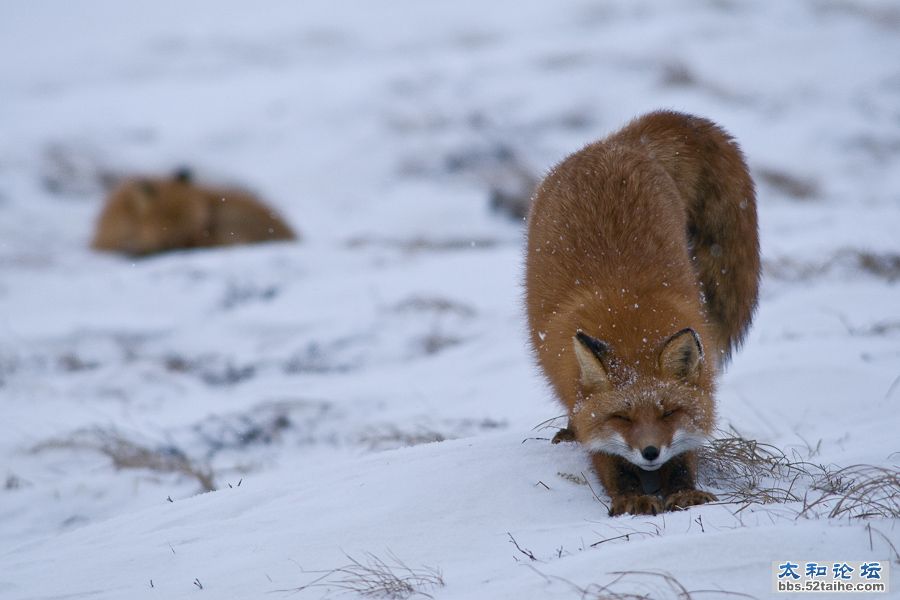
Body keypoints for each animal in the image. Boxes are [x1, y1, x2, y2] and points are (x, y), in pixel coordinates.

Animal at [524, 111, 764, 516]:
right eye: (622, 416)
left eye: (668, 413)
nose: (650, 452)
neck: (630, 320)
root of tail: (617, 143)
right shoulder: (584, 405)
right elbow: (610, 461)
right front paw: (631, 497)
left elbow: (684, 456)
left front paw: (684, 492)